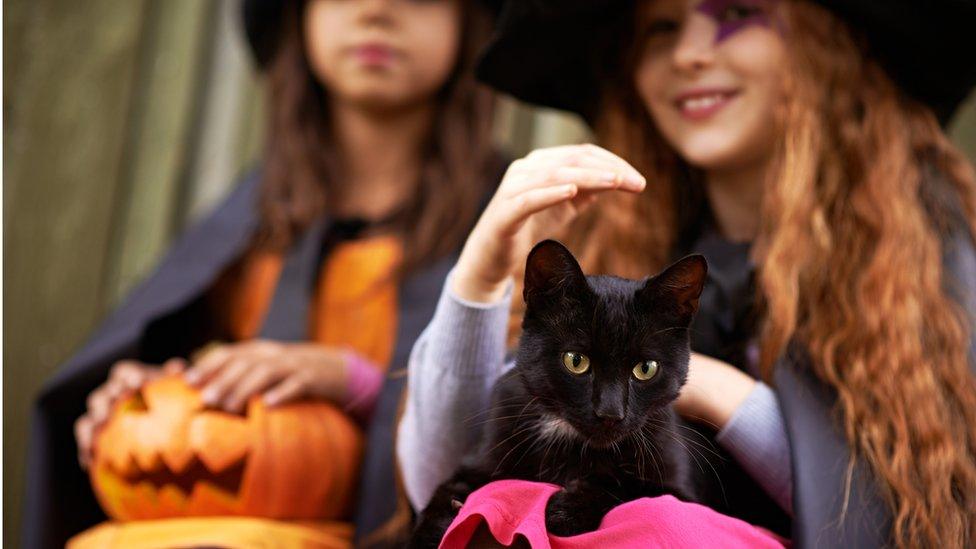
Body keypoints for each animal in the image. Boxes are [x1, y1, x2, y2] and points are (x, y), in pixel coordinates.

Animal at [410, 239, 708, 544]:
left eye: (646, 368)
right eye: (575, 361)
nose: (610, 413)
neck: (569, 440)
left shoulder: (681, 491)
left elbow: (629, 486)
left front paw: (567, 511)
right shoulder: (485, 457)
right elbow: (450, 485)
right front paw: (434, 523)